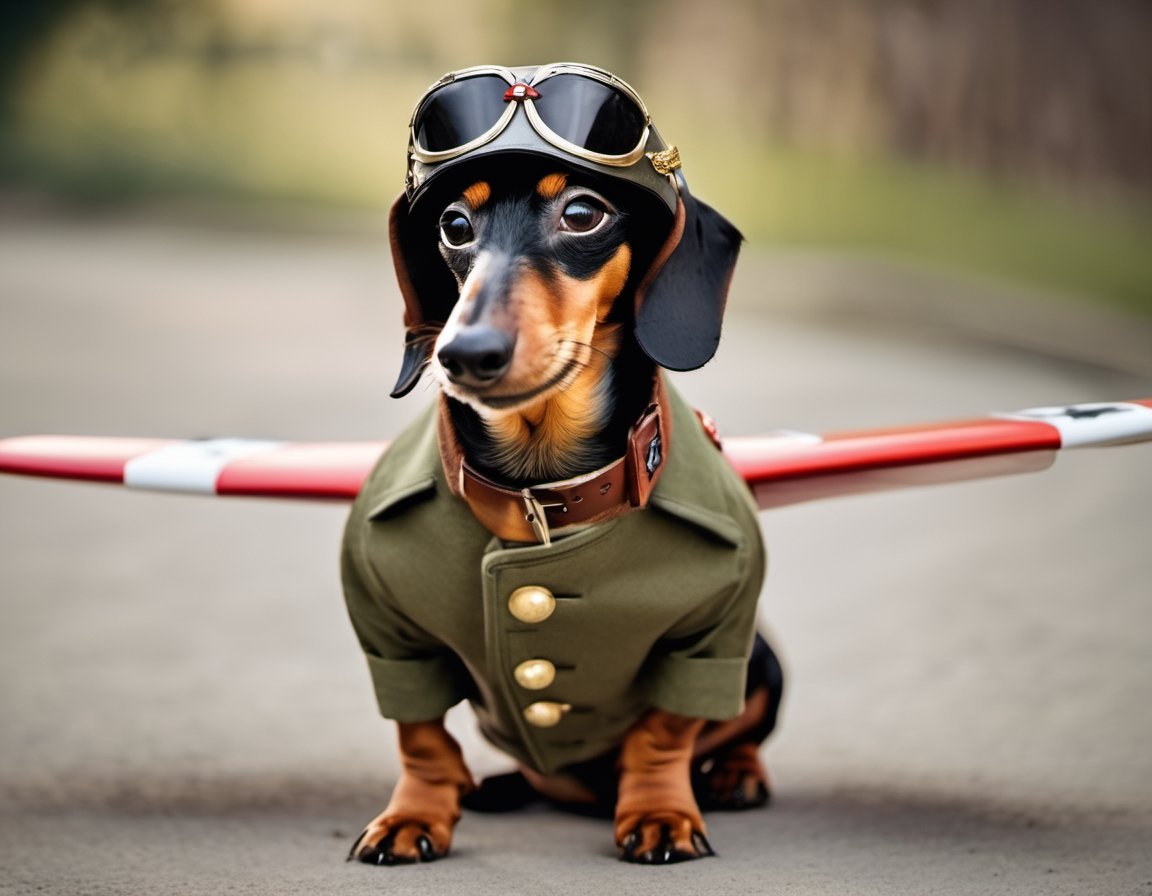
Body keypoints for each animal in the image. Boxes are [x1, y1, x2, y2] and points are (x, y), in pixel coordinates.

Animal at [336, 61, 778, 856]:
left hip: (765, 659)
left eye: (582, 214)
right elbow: (421, 735)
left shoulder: (715, 633)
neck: (542, 489)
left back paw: (735, 775)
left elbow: (665, 732)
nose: (464, 354)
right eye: (455, 225)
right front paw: (413, 815)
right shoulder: (388, 631)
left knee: (741, 730)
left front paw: (660, 812)